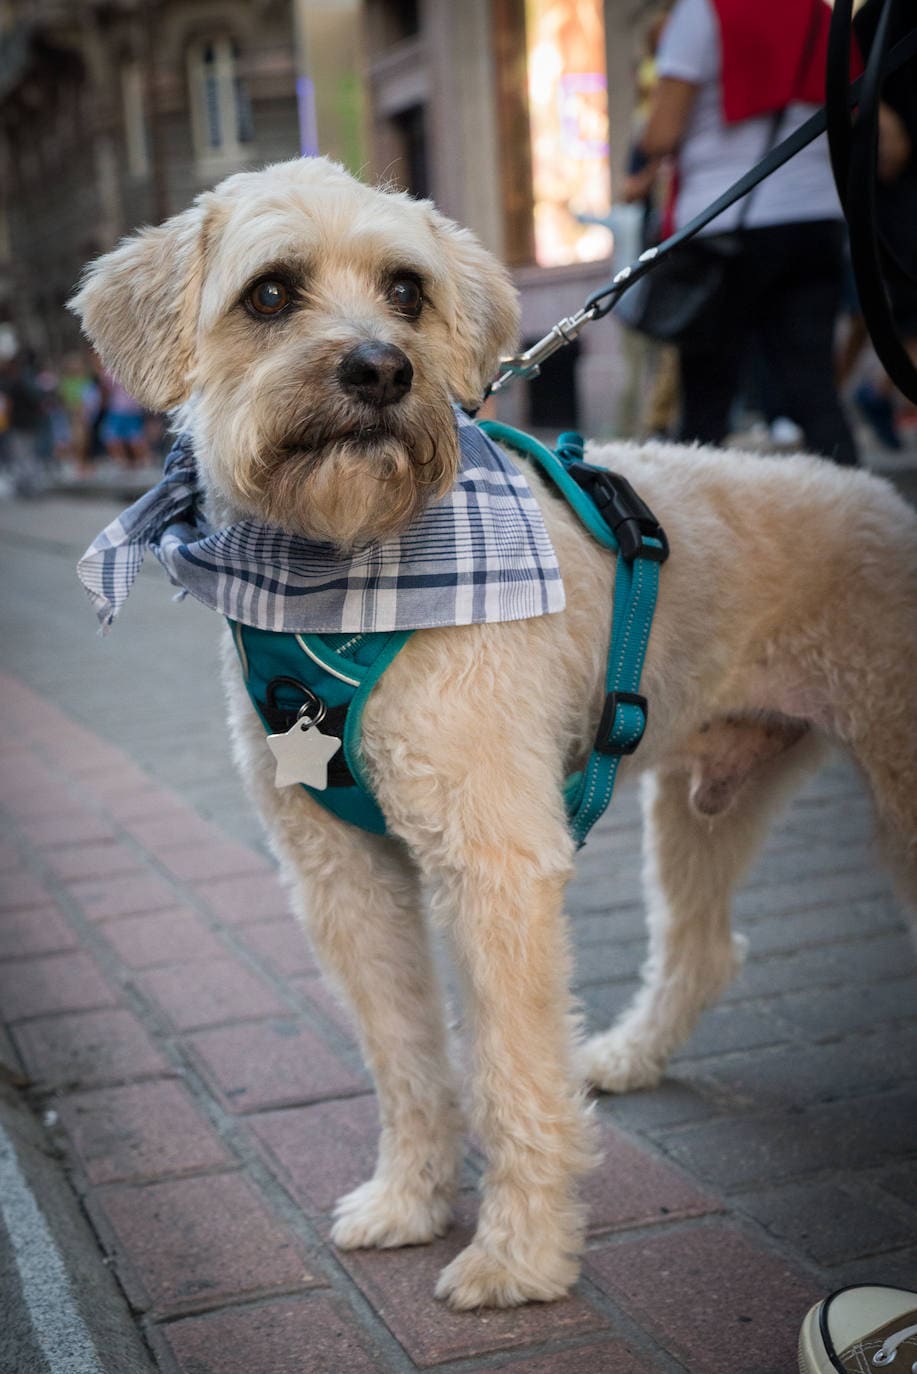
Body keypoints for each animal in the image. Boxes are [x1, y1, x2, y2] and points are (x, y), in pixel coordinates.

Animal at [71, 158, 917, 1308]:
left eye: (406, 291)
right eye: (270, 295)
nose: (381, 371)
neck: (339, 574)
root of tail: (888, 504)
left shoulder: (495, 863)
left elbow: (511, 1075)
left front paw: (519, 1256)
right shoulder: (342, 876)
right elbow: (405, 1061)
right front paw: (409, 1202)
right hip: (705, 805)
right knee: (701, 949)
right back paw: (630, 1056)